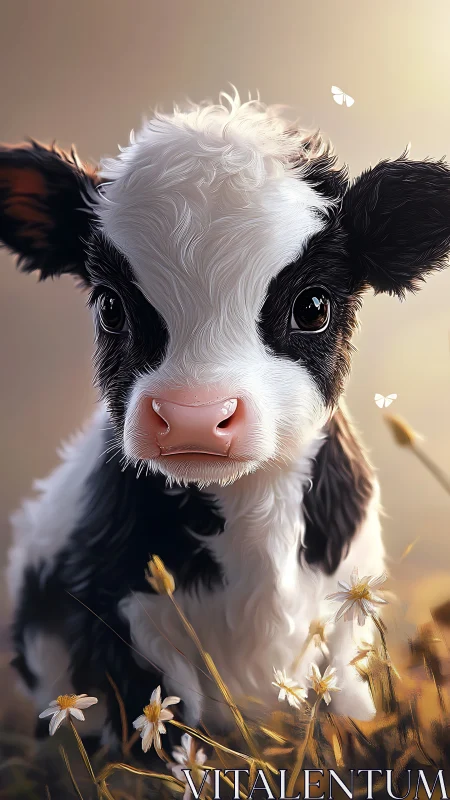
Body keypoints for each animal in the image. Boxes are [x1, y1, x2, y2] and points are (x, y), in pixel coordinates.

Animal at [1, 92, 449, 749]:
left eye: (313, 306)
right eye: (110, 308)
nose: (193, 417)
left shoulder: (351, 597)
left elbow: (342, 694)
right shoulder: (111, 604)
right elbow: (158, 722)